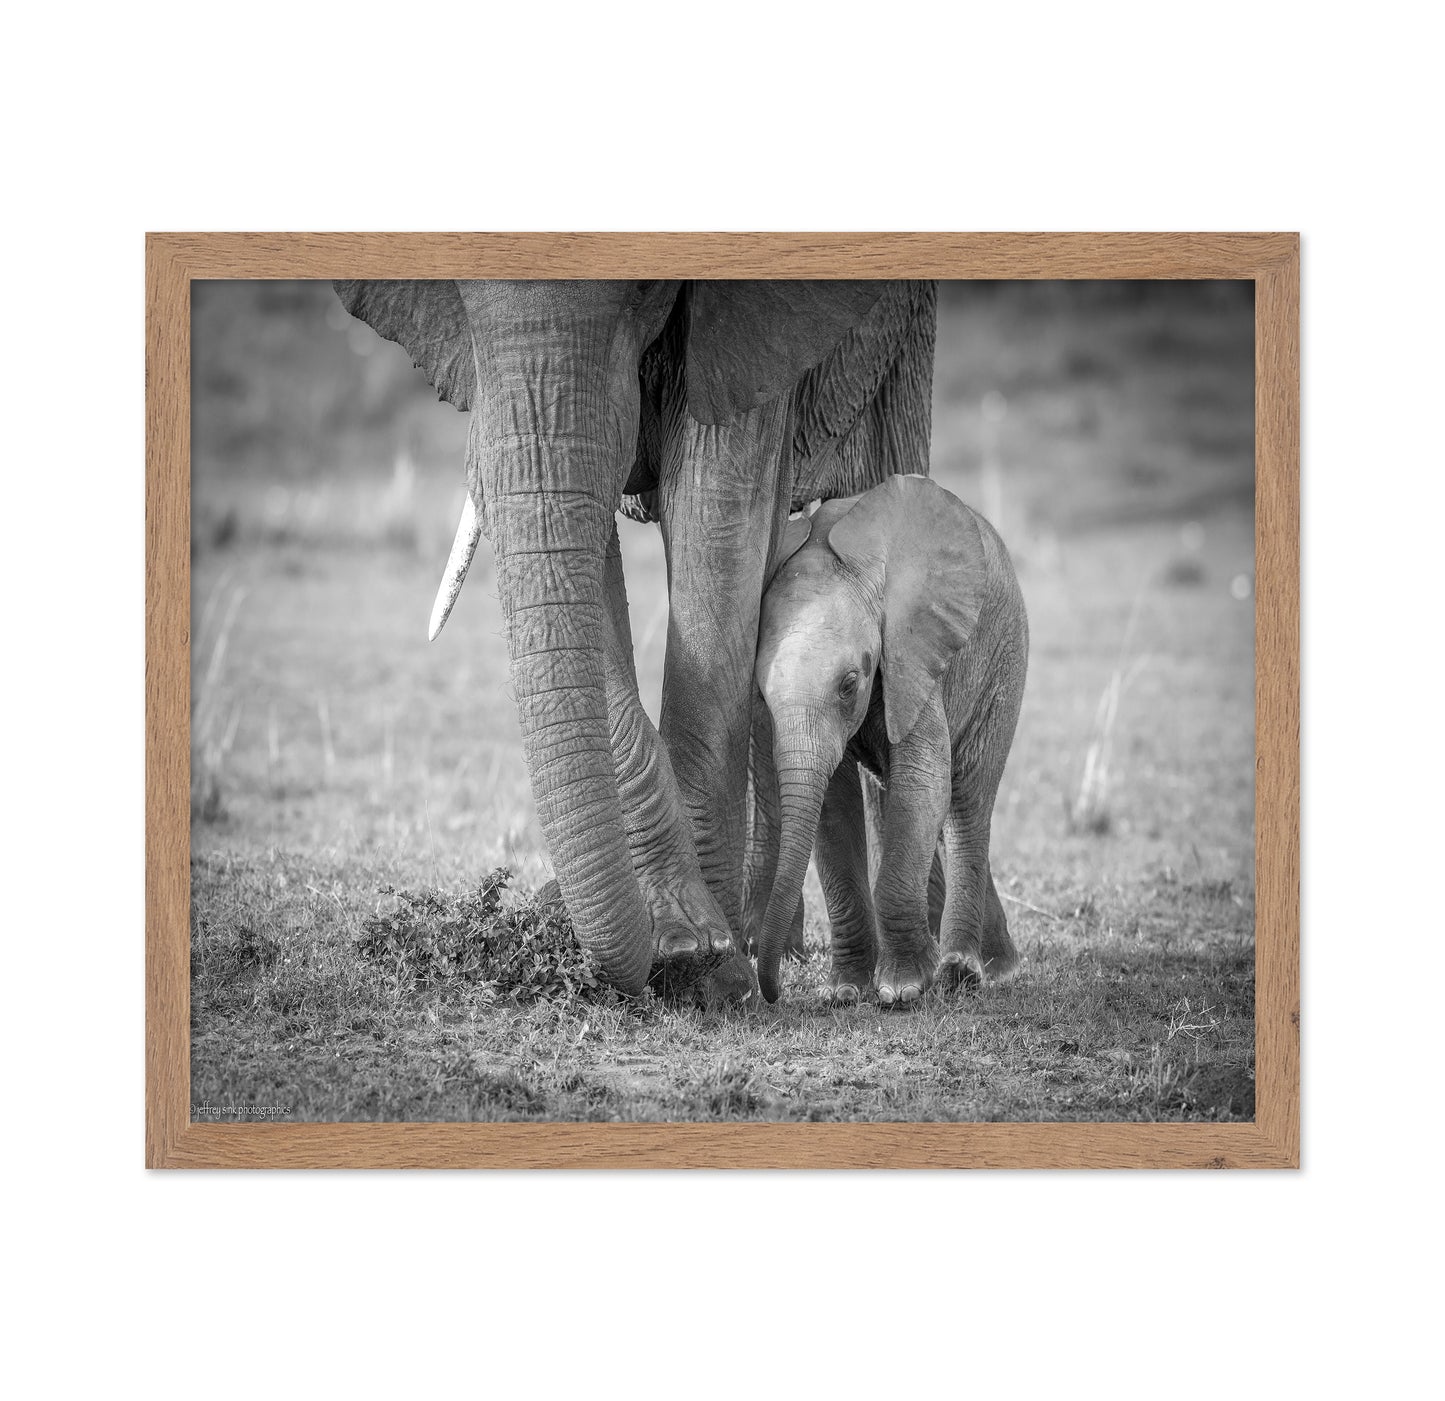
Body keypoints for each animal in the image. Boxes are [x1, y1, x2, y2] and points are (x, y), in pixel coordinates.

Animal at [333, 279, 939, 997]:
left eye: (648, 291)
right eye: (454, 294)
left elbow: (717, 513)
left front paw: (709, 969)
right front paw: (688, 945)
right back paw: (774, 946)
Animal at [751, 475, 1028, 1005]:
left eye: (849, 684)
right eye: (760, 692)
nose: (771, 994)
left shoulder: (912, 655)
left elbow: (923, 782)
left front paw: (902, 990)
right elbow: (834, 807)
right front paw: (845, 992)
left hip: (1004, 658)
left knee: (966, 800)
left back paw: (964, 972)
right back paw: (997, 966)